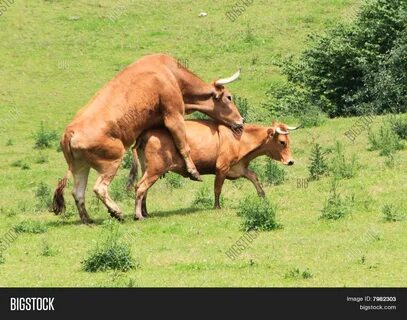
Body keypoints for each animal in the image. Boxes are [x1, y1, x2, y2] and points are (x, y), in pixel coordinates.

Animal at [54, 53, 245, 224]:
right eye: (229, 97)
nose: (242, 121)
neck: (169, 72)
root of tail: (70, 131)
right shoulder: (173, 114)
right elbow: (183, 143)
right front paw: (193, 171)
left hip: (81, 166)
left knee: (78, 192)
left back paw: (87, 219)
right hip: (111, 161)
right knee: (99, 188)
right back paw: (117, 212)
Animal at [132, 120, 302, 220]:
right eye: (282, 142)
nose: (291, 161)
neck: (239, 139)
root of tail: (146, 133)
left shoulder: (239, 168)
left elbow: (254, 177)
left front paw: (262, 196)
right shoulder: (222, 167)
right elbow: (217, 189)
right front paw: (217, 207)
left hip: (147, 168)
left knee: (143, 189)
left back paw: (146, 212)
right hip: (155, 169)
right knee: (141, 187)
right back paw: (139, 215)